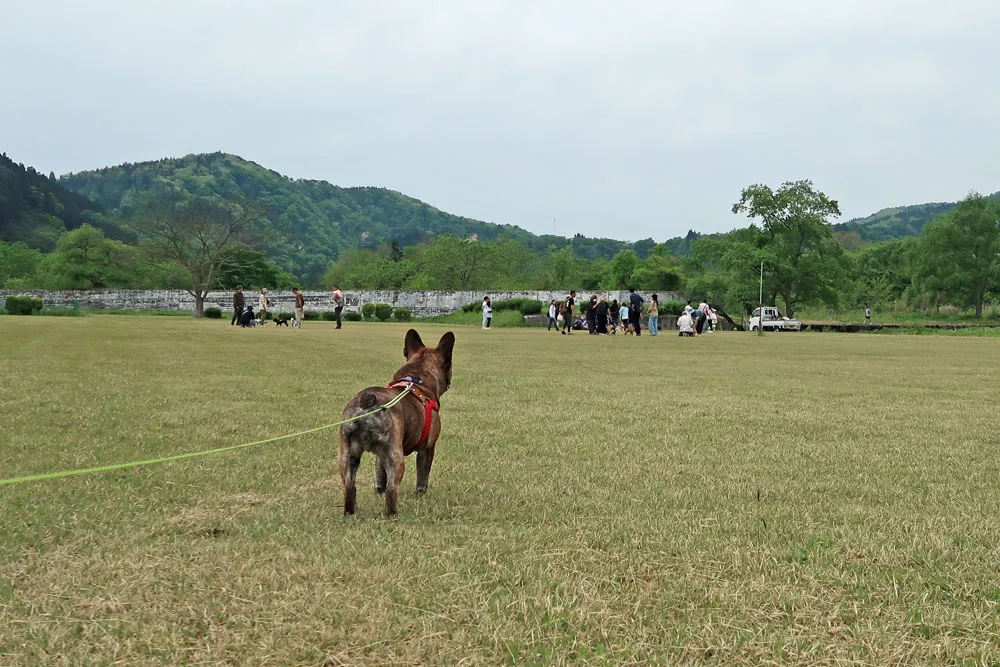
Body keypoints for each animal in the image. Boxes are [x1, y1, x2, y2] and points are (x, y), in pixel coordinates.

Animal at [340, 328, 458, 516]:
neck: (416, 380)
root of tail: (367, 402)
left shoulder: (381, 455)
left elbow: (379, 476)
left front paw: (378, 492)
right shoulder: (427, 448)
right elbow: (422, 477)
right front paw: (421, 496)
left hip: (347, 454)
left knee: (349, 485)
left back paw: (351, 513)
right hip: (396, 457)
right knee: (392, 489)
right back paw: (392, 514)